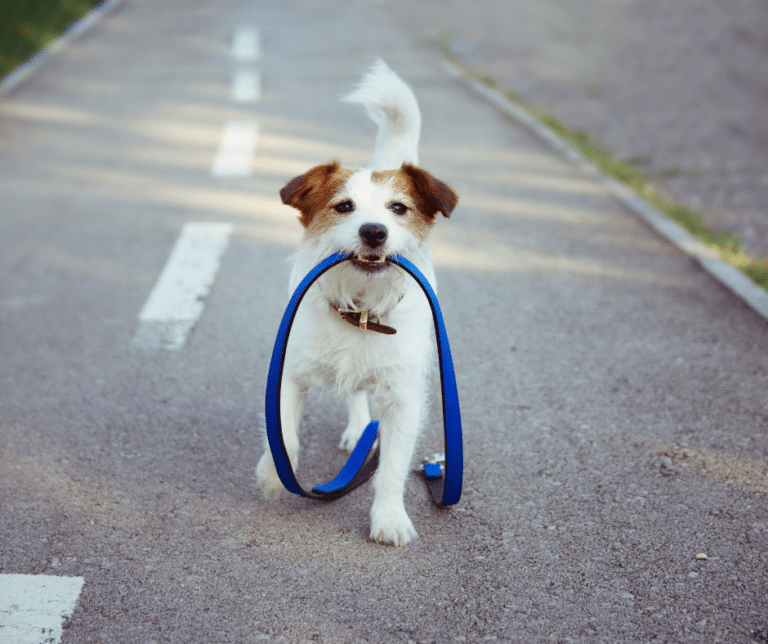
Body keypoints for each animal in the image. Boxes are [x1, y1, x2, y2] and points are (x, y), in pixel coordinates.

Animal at [258, 60, 456, 544]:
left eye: (398, 209)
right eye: (344, 206)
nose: (374, 231)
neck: (361, 311)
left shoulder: (403, 399)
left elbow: (392, 469)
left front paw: (389, 518)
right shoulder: (288, 373)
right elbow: (282, 431)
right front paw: (273, 473)